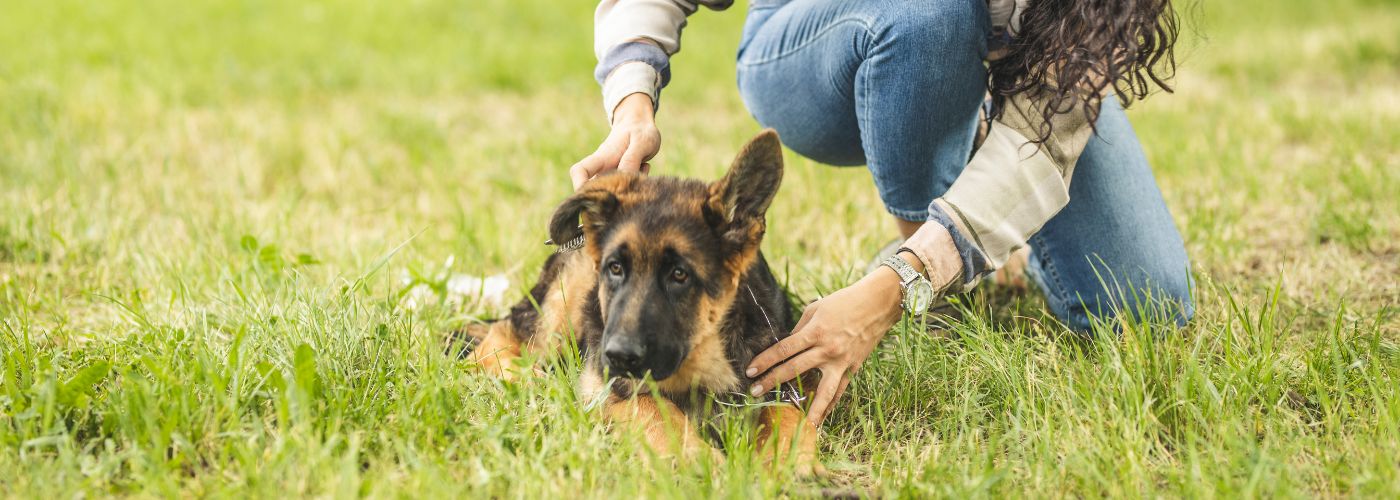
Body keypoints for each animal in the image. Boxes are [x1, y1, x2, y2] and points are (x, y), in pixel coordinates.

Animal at [453, 128, 823, 470]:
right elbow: (657, 410)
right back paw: (534, 380)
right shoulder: (613, 391)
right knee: (500, 336)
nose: (617, 356)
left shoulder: (776, 380)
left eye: (679, 275)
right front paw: (698, 462)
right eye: (615, 269)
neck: (705, 358)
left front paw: (797, 467)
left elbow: (788, 416)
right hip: (562, 310)